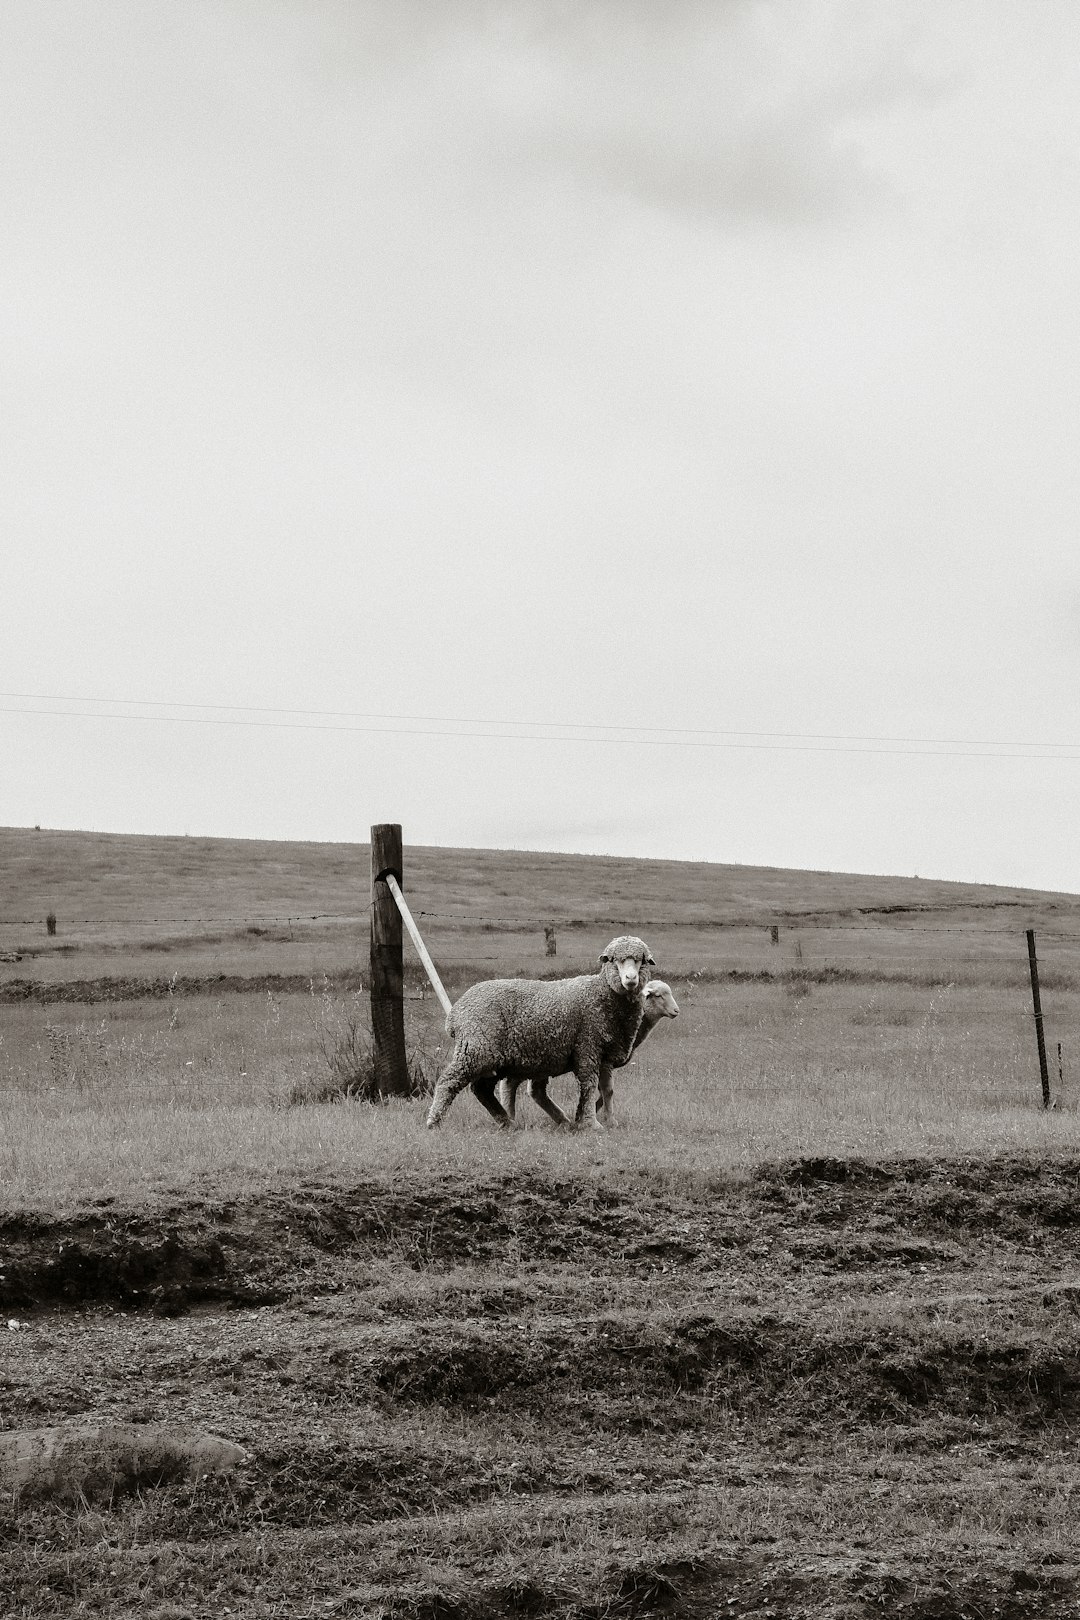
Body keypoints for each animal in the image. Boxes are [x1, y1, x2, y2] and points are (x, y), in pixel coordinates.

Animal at [427, 933, 654, 1134]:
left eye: (641, 960)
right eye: (615, 960)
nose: (631, 978)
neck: (603, 994)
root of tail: (455, 1013)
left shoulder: (605, 1053)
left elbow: (607, 1089)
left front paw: (608, 1121)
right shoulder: (587, 1047)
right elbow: (589, 1086)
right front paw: (591, 1123)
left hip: (496, 1058)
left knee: (482, 1089)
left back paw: (507, 1121)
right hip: (476, 1048)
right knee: (449, 1081)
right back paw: (434, 1122)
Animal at [501, 972, 680, 1127]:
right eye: (658, 995)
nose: (676, 1011)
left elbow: (602, 1091)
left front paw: (586, 1113)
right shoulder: (602, 1060)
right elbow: (607, 1090)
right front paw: (604, 1118)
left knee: (531, 1090)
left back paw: (559, 1120)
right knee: (515, 1086)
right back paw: (511, 1118)